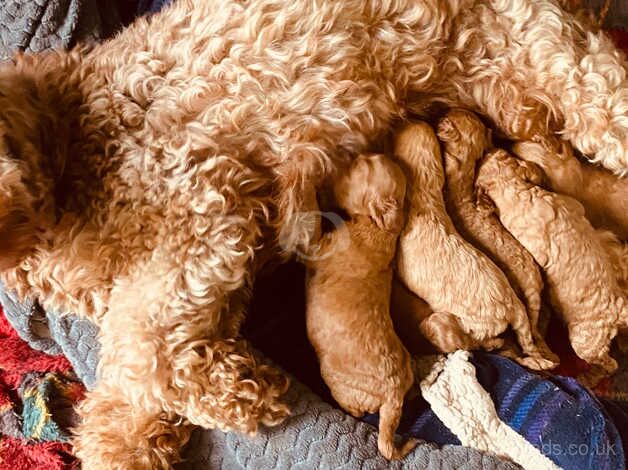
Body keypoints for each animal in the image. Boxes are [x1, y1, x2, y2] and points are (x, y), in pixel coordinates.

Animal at [306, 153, 418, 458]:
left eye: (362, 165)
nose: (353, 154)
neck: (375, 225)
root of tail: (393, 394)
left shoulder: (320, 246)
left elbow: (312, 219)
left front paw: (309, 183)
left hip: (336, 380)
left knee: (354, 408)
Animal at [478, 150, 624, 386]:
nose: (490, 150)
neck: (513, 188)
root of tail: (619, 309)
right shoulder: (569, 204)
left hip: (585, 342)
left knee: (610, 364)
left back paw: (587, 378)